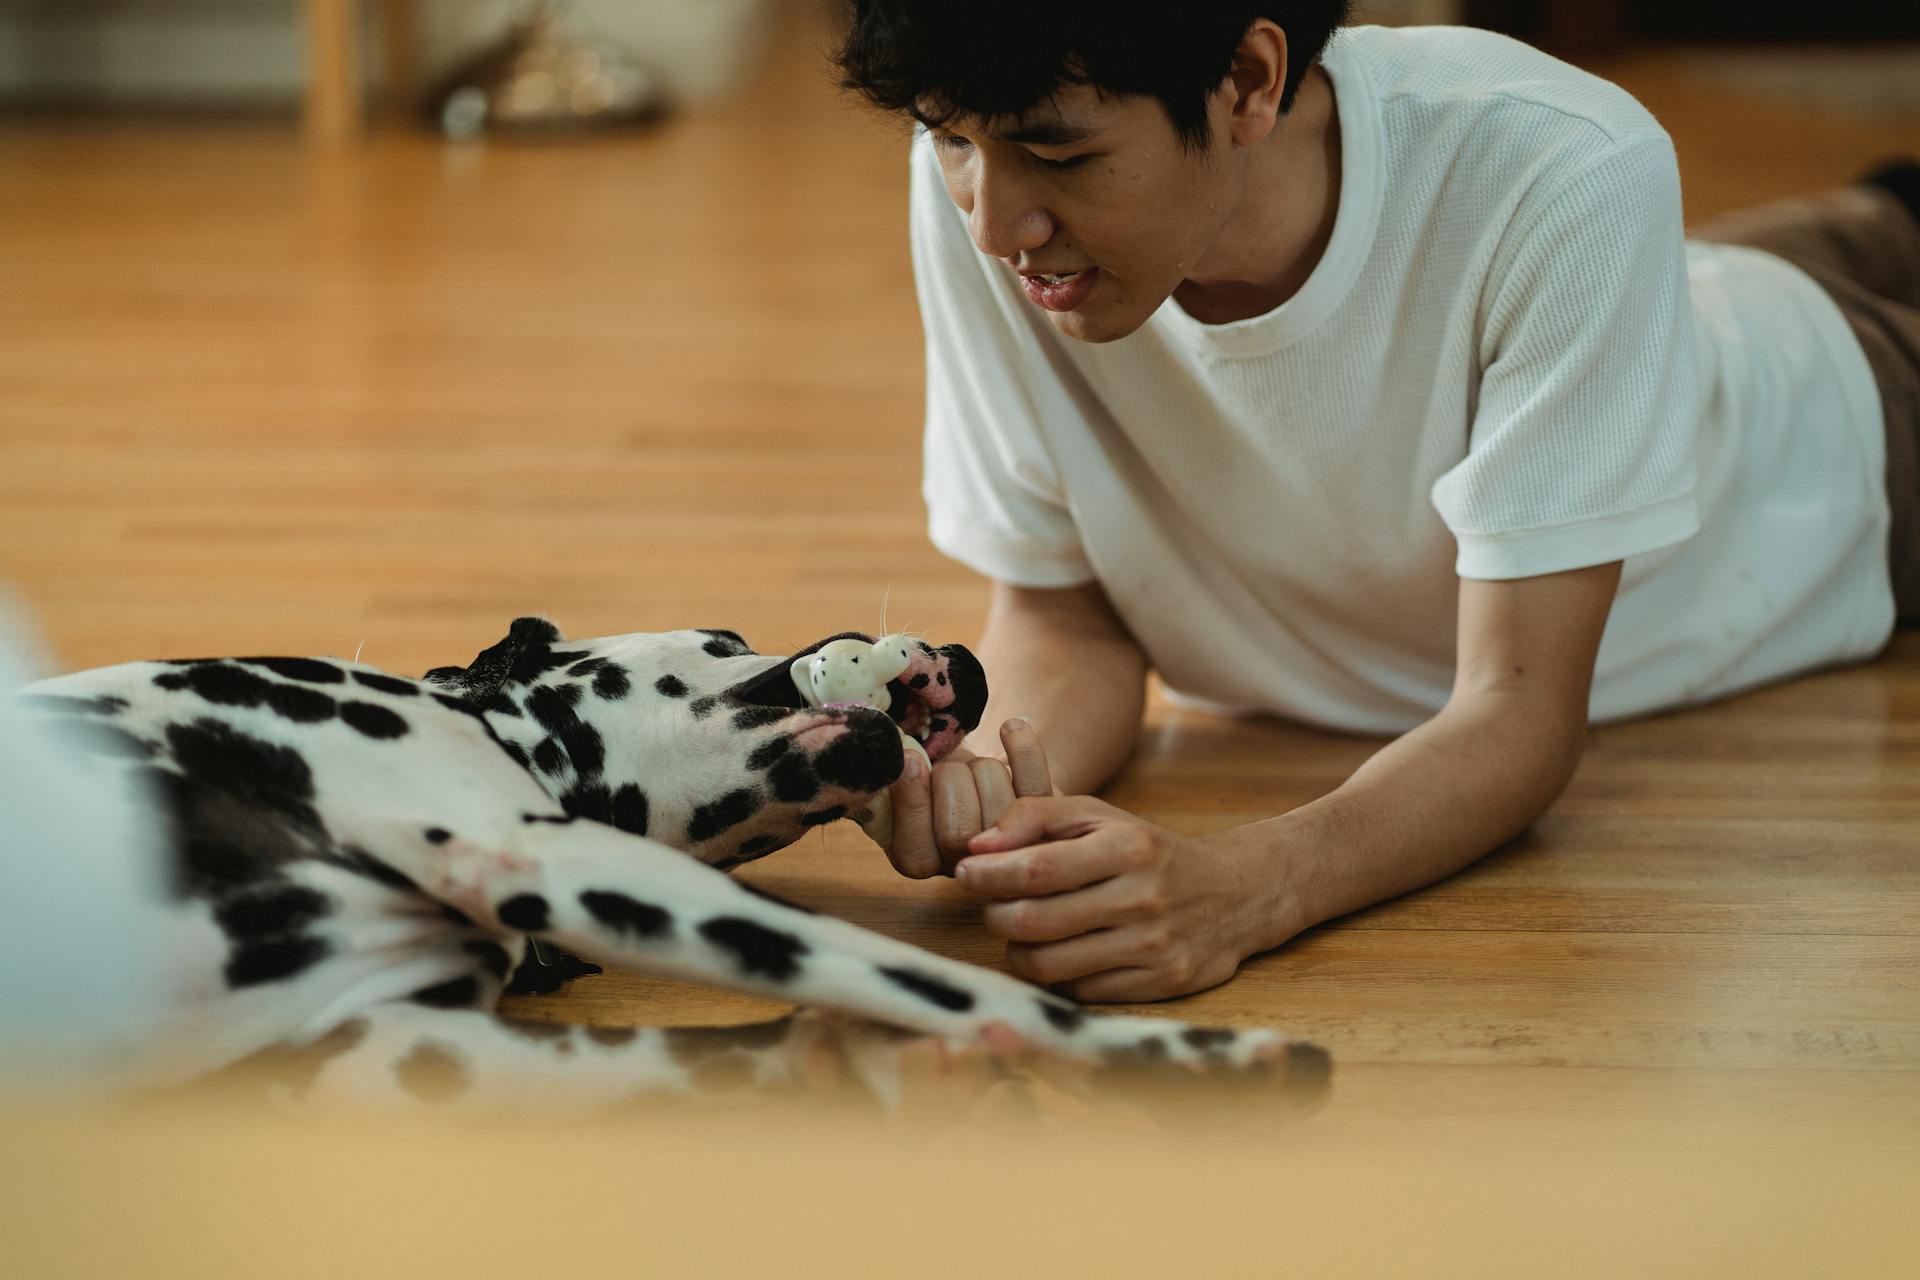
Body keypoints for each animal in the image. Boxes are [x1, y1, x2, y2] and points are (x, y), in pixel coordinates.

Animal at [15, 617, 1328, 1113]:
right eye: (729, 638)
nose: (965, 657)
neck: (510, 738)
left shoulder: (396, 1057)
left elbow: (719, 1055)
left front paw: (875, 1071)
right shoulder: (545, 852)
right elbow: (958, 984)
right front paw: (1220, 1060)